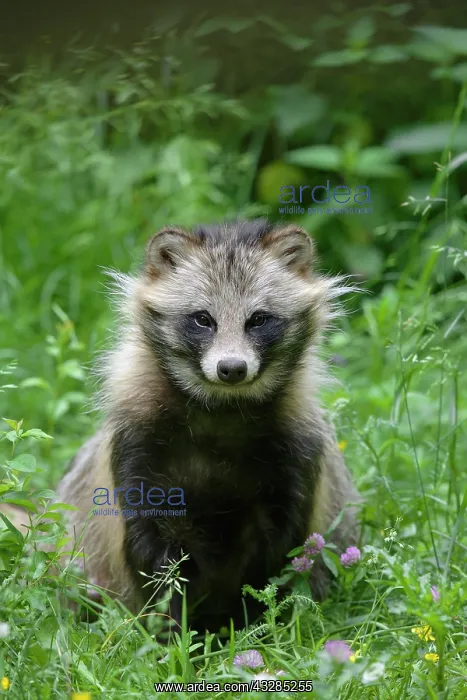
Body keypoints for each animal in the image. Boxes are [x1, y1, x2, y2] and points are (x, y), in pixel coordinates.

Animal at [56, 219, 360, 631]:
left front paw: (254, 626)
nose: (232, 368)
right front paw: (170, 629)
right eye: (203, 318)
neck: (222, 410)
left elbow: (282, 550)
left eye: (258, 319)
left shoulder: (298, 452)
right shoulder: (136, 446)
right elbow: (149, 553)